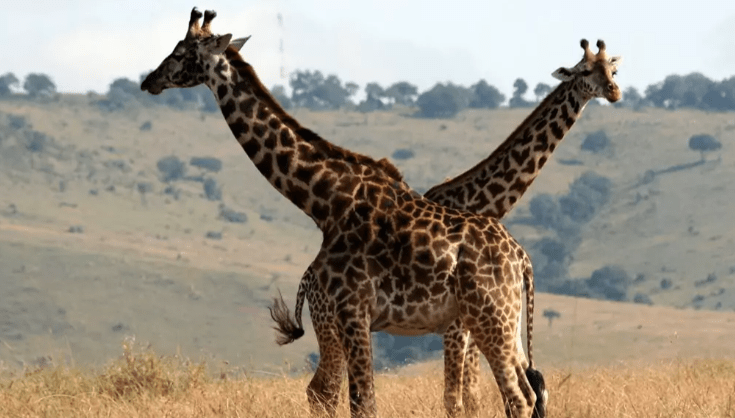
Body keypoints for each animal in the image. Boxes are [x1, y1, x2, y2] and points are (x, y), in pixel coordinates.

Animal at [141, 8, 545, 418]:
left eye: (179, 53)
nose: (148, 81)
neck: (325, 203)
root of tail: (521, 259)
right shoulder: (345, 316)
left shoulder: (353, 310)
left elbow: (364, 402)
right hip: (504, 321)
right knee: (527, 388)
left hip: (489, 318)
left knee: (519, 396)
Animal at [273, 39, 622, 416]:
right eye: (585, 71)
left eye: (613, 70)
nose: (614, 92)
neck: (475, 200)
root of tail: (308, 276)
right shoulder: (459, 325)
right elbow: (461, 397)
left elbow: (476, 394)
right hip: (333, 322)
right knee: (323, 387)